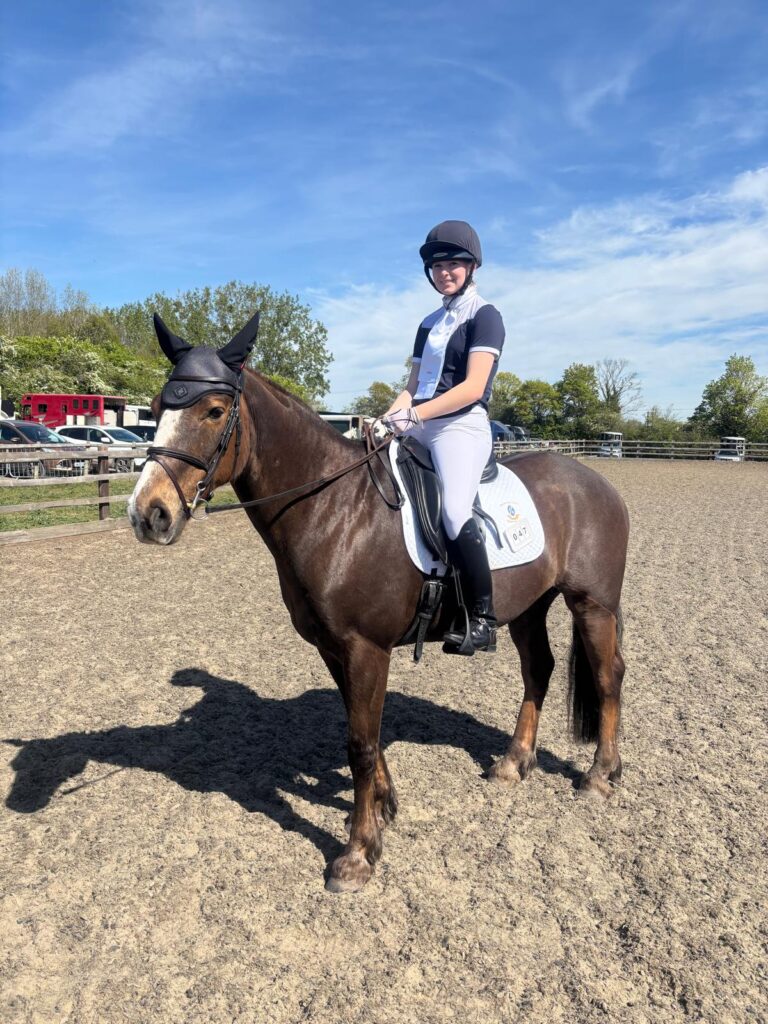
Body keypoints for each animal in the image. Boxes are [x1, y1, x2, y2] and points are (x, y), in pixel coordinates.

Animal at [128, 313, 629, 893]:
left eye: (212, 411)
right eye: (158, 408)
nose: (148, 514)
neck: (335, 508)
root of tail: (596, 480)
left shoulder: (366, 647)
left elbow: (360, 744)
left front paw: (358, 855)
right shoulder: (334, 647)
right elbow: (364, 730)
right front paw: (383, 808)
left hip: (592, 604)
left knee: (607, 677)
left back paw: (599, 776)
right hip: (529, 606)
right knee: (539, 671)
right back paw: (513, 763)